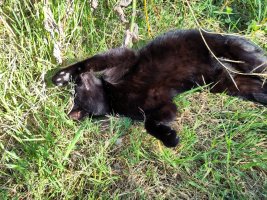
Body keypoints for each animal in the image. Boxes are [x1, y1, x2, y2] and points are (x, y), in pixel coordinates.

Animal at [52, 29, 267, 147]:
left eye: (77, 90)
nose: (80, 80)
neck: (113, 96)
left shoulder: (123, 58)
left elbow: (92, 61)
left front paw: (62, 75)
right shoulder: (162, 106)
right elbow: (150, 124)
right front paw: (169, 138)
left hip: (238, 53)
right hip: (229, 84)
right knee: (257, 87)